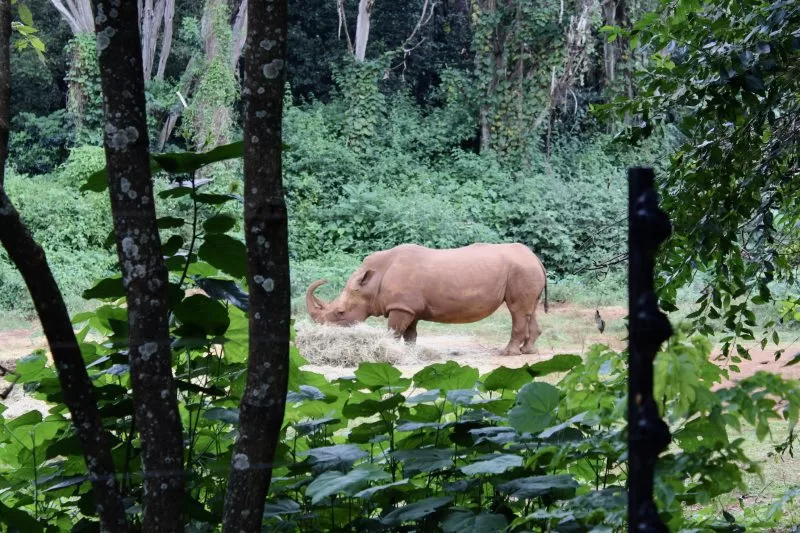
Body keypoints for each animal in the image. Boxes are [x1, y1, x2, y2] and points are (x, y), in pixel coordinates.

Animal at [305, 243, 548, 355]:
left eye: (340, 313)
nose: (321, 331)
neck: (373, 283)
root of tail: (535, 257)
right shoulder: (409, 307)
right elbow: (410, 333)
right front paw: (410, 352)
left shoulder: (401, 307)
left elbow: (393, 331)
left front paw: (390, 351)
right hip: (526, 270)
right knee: (530, 309)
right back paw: (528, 352)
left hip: (521, 270)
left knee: (517, 310)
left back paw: (507, 353)